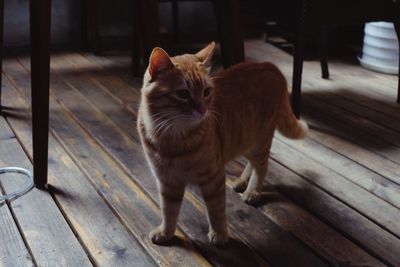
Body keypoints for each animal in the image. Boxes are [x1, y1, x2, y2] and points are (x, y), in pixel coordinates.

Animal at [137, 42, 306, 247]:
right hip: (246, 142)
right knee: (252, 164)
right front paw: (166, 233)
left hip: (259, 141)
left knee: (262, 166)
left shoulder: (213, 178)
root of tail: (270, 65)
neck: (173, 139)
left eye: (206, 92)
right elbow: (169, 211)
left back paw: (252, 191)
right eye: (183, 94)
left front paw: (219, 233)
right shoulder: (167, 182)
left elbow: (216, 210)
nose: (203, 109)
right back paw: (241, 182)